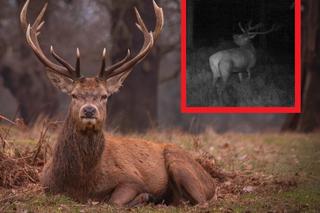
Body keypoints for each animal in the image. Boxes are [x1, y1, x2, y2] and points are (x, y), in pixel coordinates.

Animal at [20, 0, 218, 207]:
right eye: (74, 95)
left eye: (104, 96)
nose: (89, 110)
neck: (82, 184)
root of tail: (211, 182)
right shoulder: (46, 186)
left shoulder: (132, 178)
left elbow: (115, 201)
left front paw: (144, 197)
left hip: (180, 163)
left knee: (201, 201)